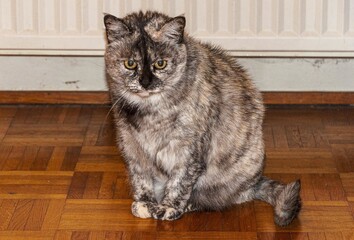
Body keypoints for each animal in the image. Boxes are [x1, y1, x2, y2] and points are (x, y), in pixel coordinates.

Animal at [103, 10, 302, 226]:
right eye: (130, 64)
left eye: (160, 63)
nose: (145, 82)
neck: (149, 113)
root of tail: (255, 182)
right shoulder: (131, 147)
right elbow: (141, 177)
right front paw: (145, 203)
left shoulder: (189, 150)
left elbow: (179, 182)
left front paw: (168, 207)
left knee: (226, 198)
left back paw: (191, 204)